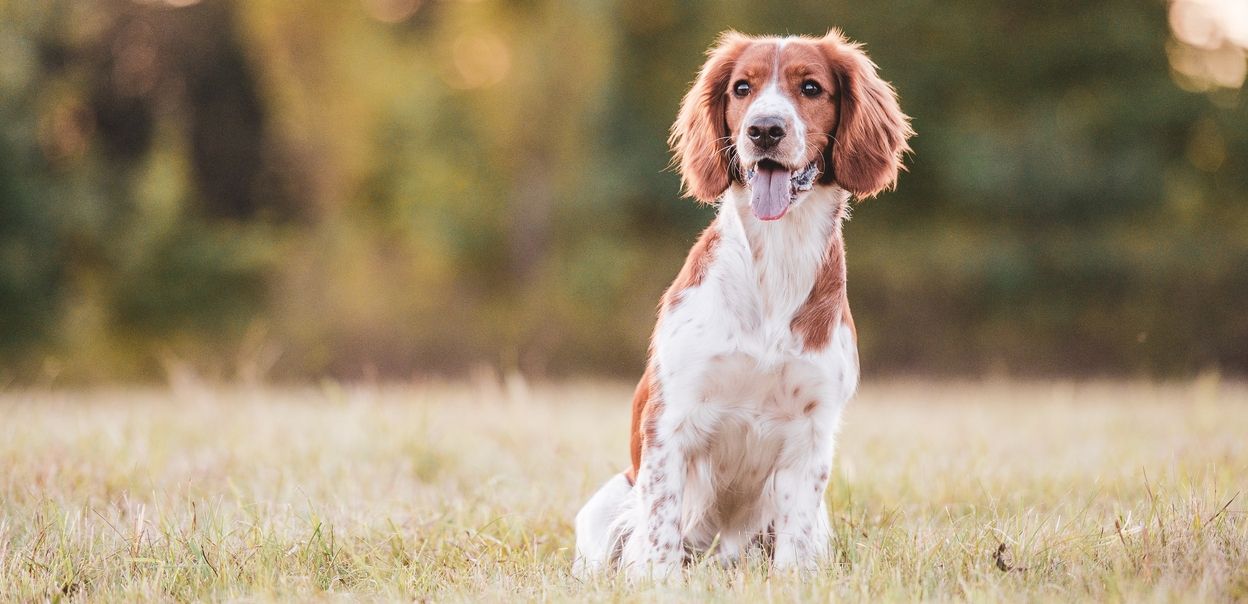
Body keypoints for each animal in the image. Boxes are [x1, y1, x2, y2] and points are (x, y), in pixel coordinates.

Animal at [571, 30, 913, 579]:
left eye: (811, 87)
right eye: (742, 88)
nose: (764, 130)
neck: (774, 260)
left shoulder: (812, 431)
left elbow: (795, 540)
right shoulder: (672, 419)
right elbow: (661, 529)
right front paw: (660, 582)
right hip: (607, 506)